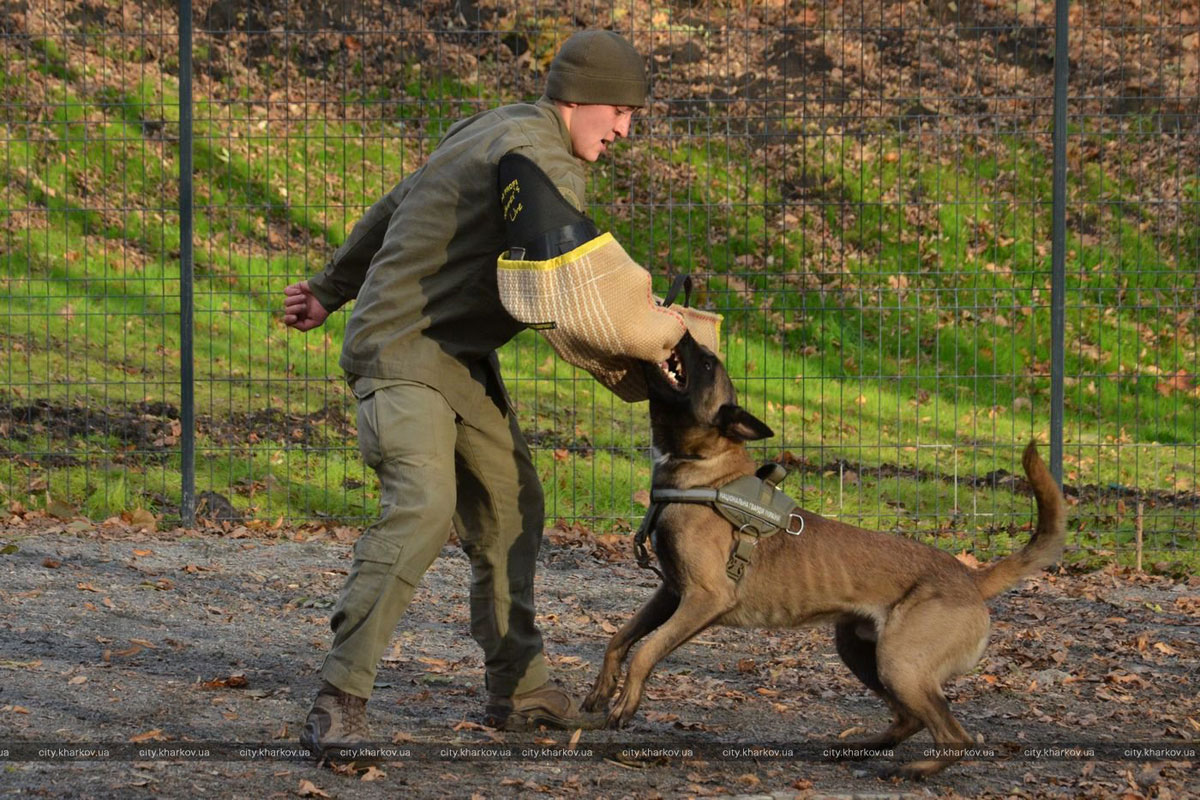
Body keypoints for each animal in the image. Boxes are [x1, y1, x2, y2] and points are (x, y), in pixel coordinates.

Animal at [585, 331, 1065, 777]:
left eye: (705, 362)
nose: (682, 329)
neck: (706, 473)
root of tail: (969, 577)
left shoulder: (704, 598)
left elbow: (646, 650)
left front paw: (626, 702)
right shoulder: (670, 592)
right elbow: (621, 637)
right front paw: (603, 687)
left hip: (899, 664)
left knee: (954, 735)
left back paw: (914, 770)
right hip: (861, 652)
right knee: (909, 719)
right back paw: (861, 749)